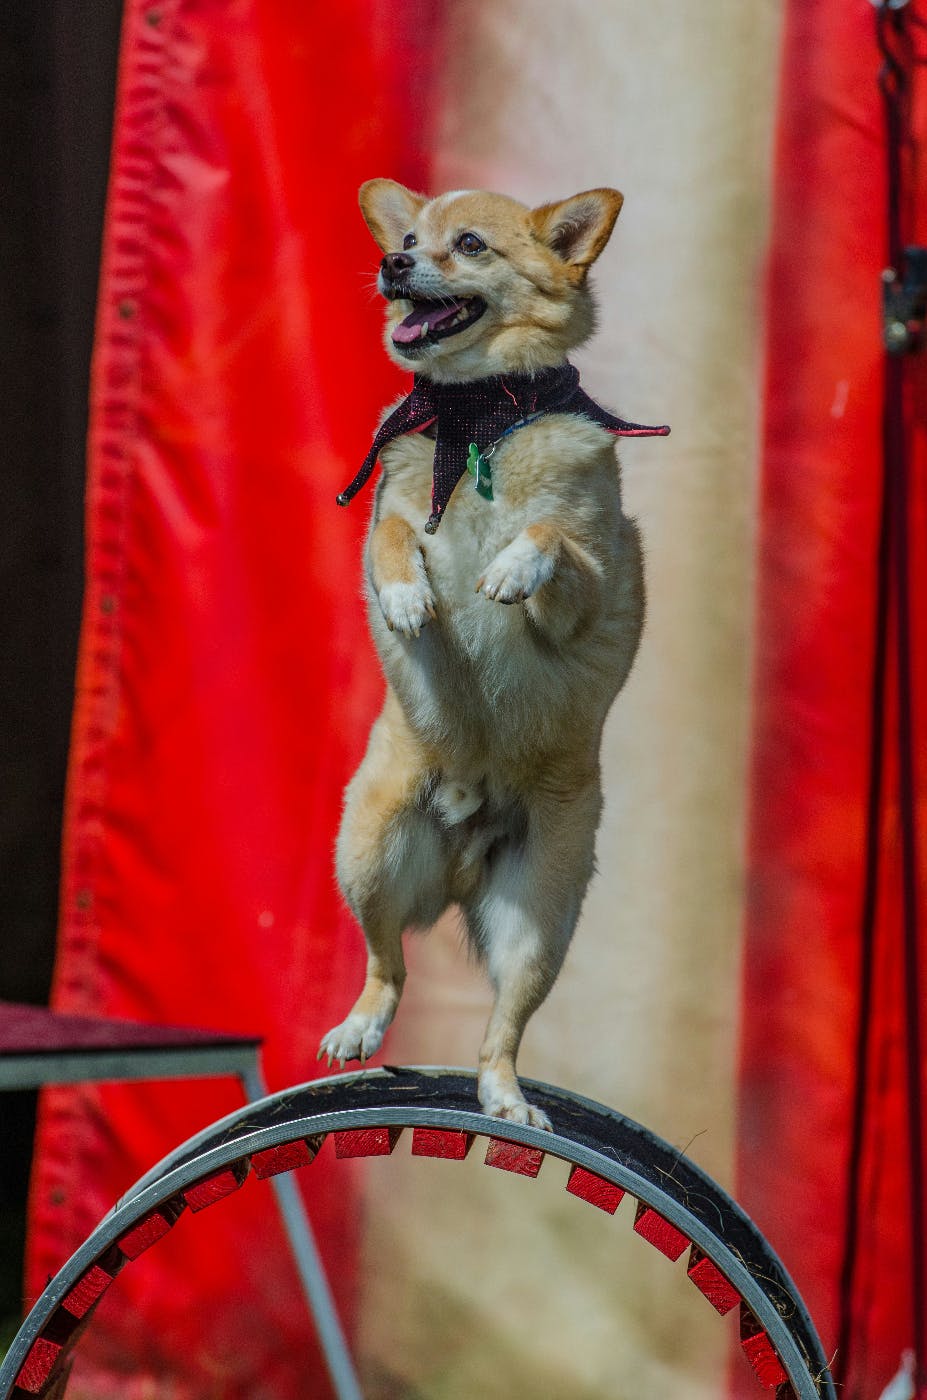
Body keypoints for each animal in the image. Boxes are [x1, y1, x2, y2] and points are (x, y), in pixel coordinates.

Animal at [322, 183, 669, 1125]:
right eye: (408, 237)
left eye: (469, 245)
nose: (392, 262)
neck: (478, 416)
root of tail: (463, 857)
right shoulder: (384, 523)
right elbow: (394, 537)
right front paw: (409, 595)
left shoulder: (587, 589)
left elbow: (551, 536)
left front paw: (512, 564)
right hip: (369, 850)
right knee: (387, 964)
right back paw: (361, 1028)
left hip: (540, 919)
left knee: (501, 1030)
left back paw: (504, 1097)